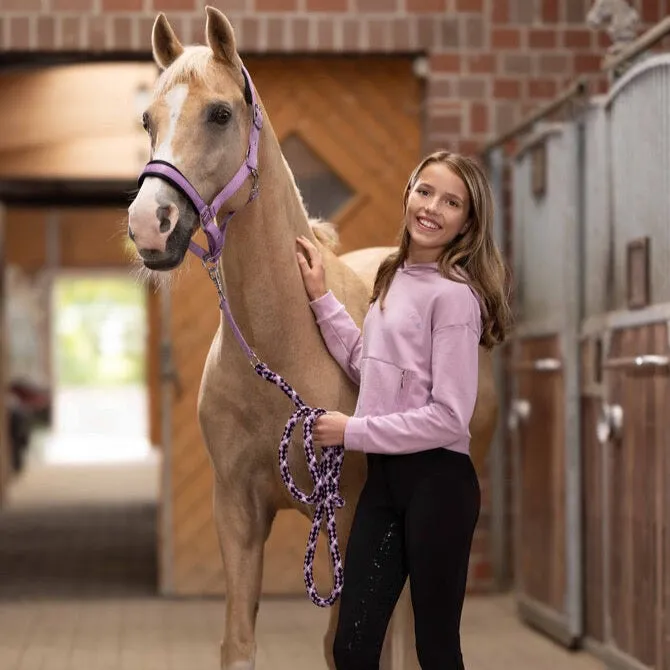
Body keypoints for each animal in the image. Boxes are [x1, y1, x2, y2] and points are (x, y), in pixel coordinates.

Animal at [127, 6, 498, 670]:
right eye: (149, 120)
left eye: (219, 114)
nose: (150, 225)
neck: (285, 350)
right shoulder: (237, 512)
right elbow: (238, 641)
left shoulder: (348, 518)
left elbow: (348, 640)